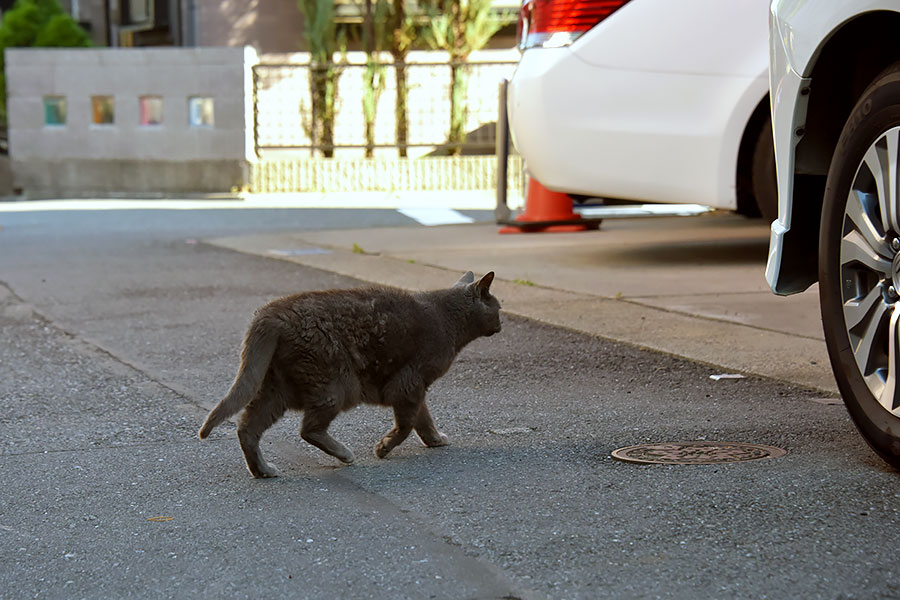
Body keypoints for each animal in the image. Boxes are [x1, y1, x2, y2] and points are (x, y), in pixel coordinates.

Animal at [198, 270, 502, 478]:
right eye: (498, 308)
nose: (501, 323)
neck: (447, 318)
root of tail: (269, 314)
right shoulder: (409, 383)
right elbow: (406, 425)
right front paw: (384, 447)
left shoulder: (415, 388)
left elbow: (423, 419)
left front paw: (435, 440)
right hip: (335, 385)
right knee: (308, 429)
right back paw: (344, 454)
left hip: (277, 387)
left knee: (247, 427)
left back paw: (263, 470)